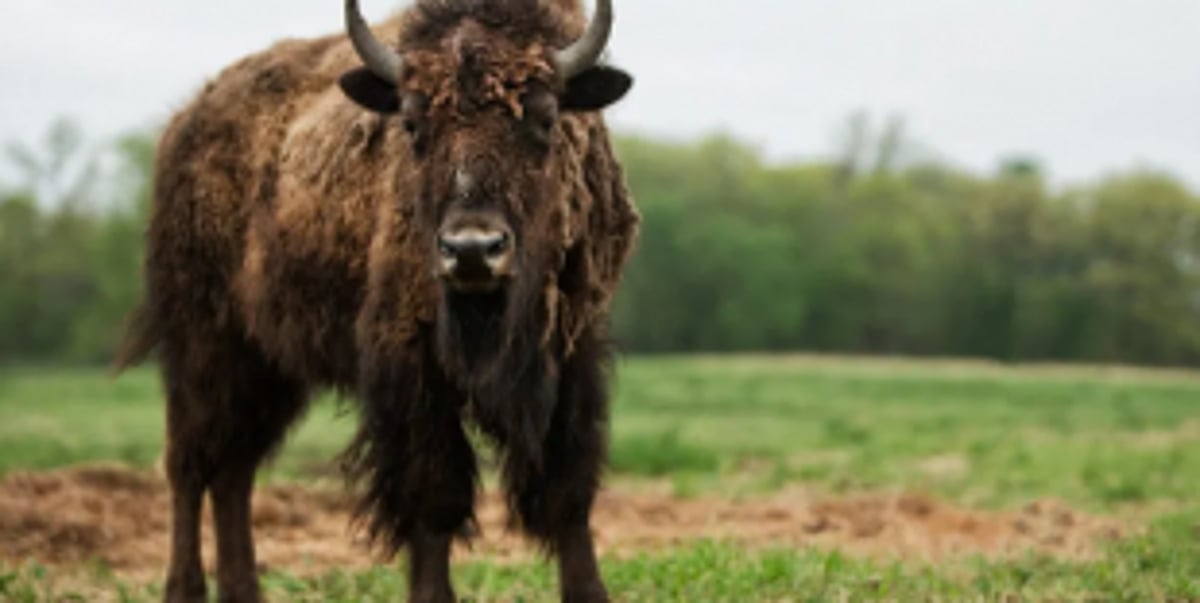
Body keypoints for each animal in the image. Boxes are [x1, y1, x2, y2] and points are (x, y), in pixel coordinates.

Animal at [114, 0, 639, 601]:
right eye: (411, 124)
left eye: (545, 118)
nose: (472, 250)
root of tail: (186, 121)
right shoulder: (410, 367)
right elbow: (434, 495)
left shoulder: (571, 354)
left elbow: (567, 491)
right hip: (202, 343)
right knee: (190, 462)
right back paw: (183, 588)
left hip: (267, 366)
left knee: (233, 470)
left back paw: (243, 590)